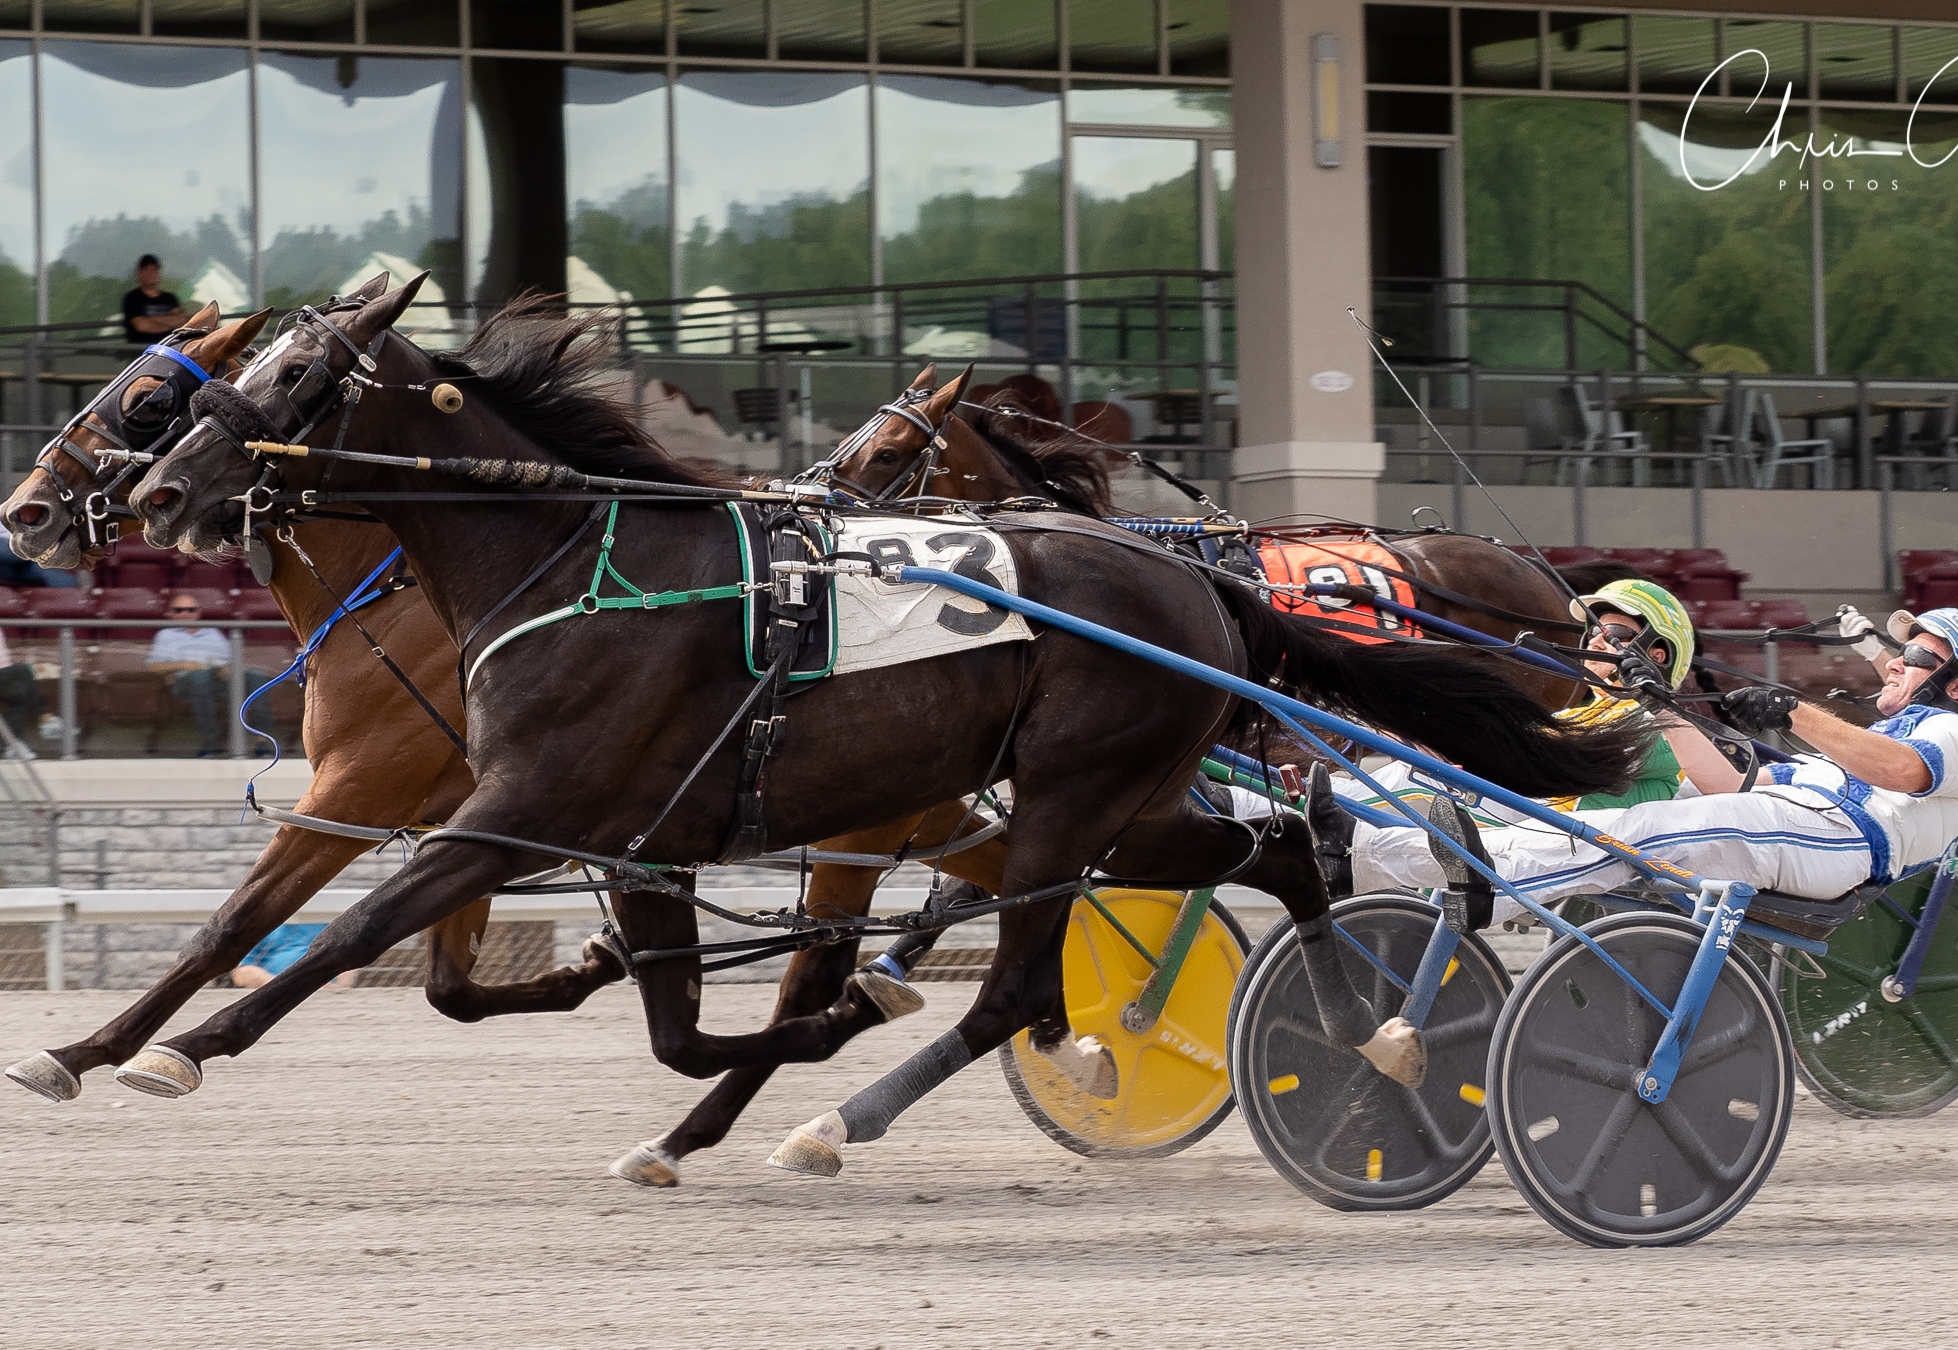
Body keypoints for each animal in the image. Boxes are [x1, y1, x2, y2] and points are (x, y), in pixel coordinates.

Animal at [126, 276, 1652, 1175]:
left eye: (294, 379)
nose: (159, 492)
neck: (578, 564)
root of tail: (1198, 582)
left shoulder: (521, 810)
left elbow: (358, 933)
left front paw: (172, 1050)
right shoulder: (638, 841)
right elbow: (681, 1021)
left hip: (1069, 800)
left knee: (1030, 979)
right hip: (1120, 806)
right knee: (1277, 855)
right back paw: (1355, 1036)